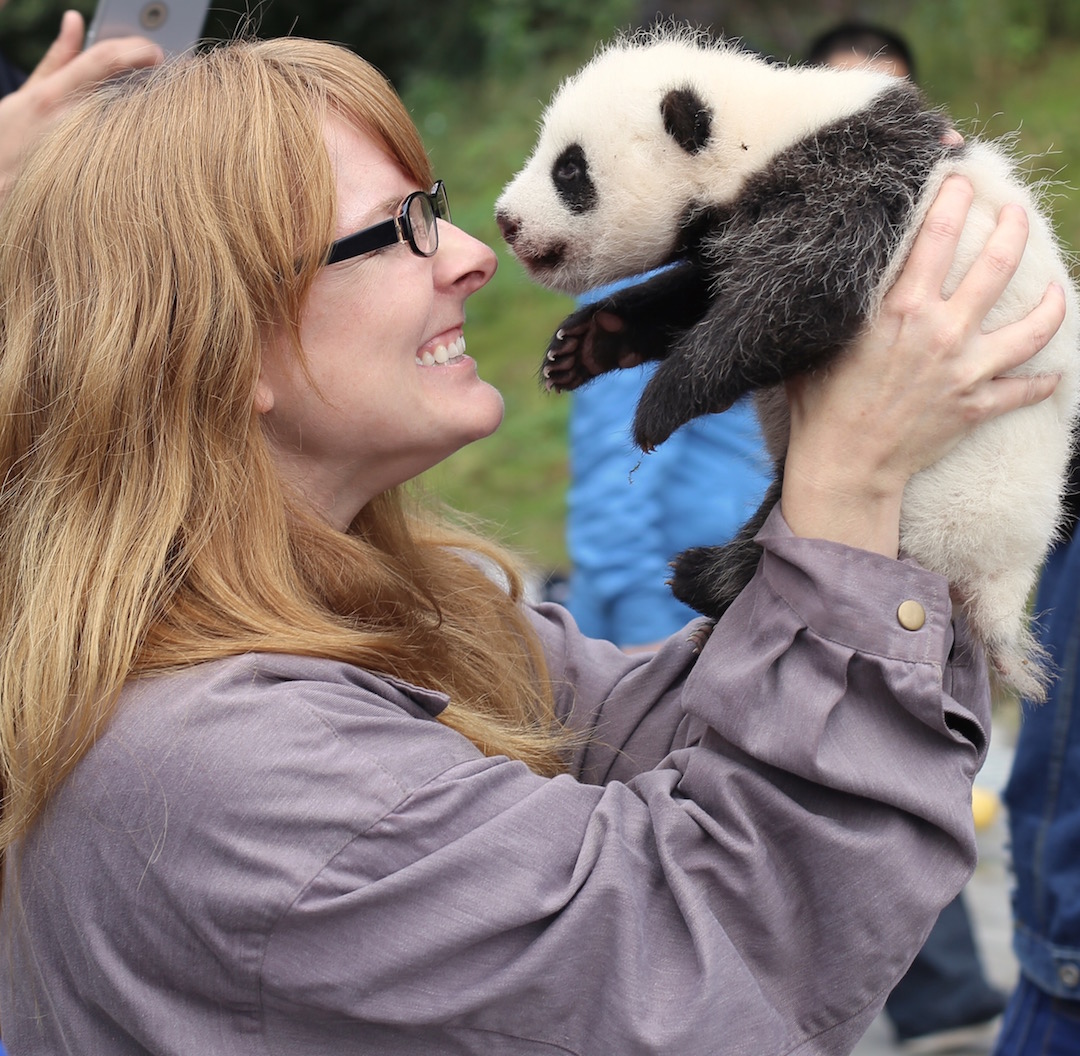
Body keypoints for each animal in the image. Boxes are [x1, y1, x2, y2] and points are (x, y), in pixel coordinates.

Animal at [494, 22, 1080, 699]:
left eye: (570, 170)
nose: (505, 221)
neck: (764, 128)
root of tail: (1000, 599)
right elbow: (702, 289)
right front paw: (588, 340)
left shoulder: (856, 182)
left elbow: (798, 295)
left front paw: (660, 404)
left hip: (942, 503)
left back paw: (704, 574)